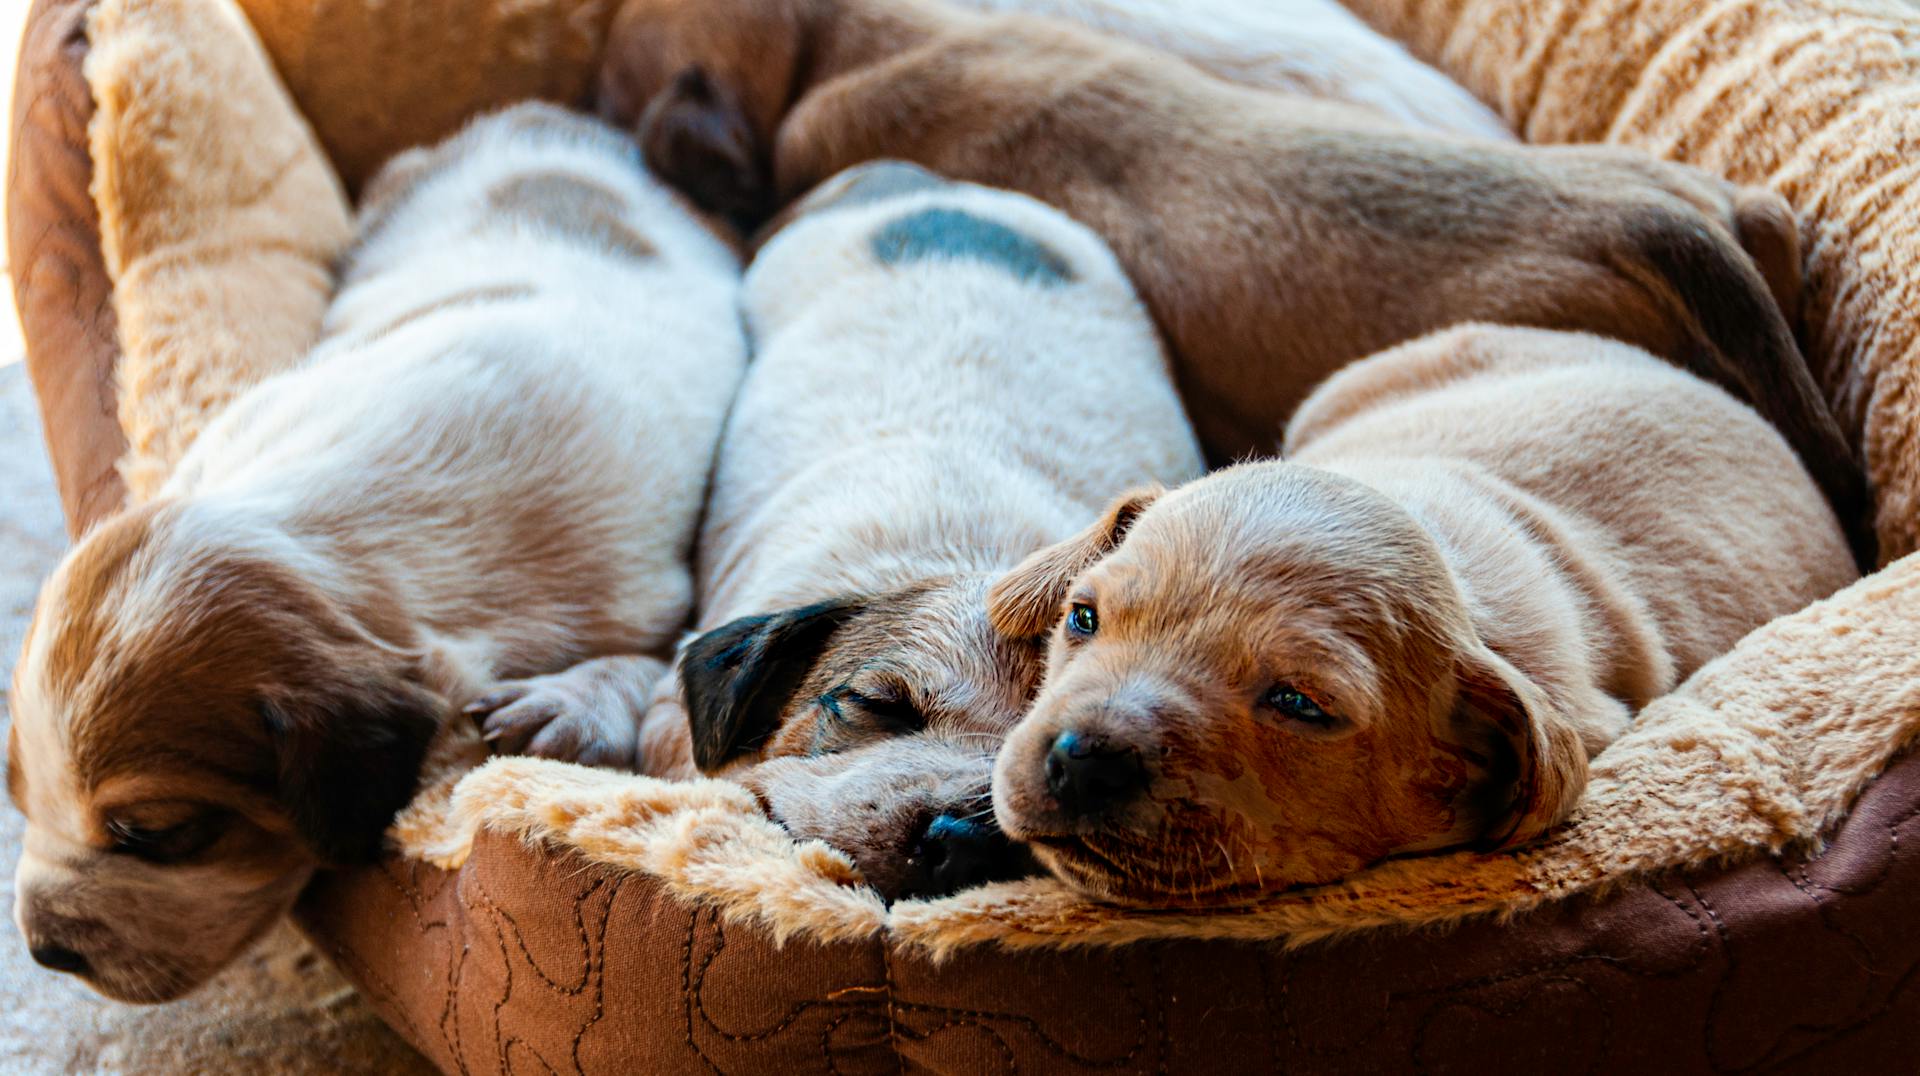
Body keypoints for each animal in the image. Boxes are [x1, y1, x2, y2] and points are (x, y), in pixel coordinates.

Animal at [5, 105, 741, 1006]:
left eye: (155, 831)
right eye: (15, 792)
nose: (43, 951)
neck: (319, 529)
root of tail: (558, 121)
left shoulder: (647, 588)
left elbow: (651, 654)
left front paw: (569, 703)